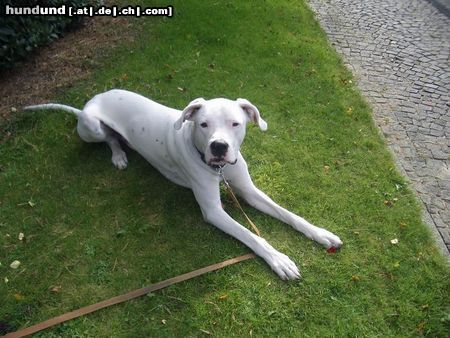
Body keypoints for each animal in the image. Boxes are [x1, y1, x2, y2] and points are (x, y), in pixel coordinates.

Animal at [26, 90, 342, 280]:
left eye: (235, 123)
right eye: (203, 124)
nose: (218, 147)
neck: (218, 168)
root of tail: (89, 102)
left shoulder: (250, 192)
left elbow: (289, 214)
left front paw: (320, 233)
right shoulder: (213, 211)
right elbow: (252, 236)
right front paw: (278, 260)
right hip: (91, 127)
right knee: (109, 138)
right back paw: (118, 155)